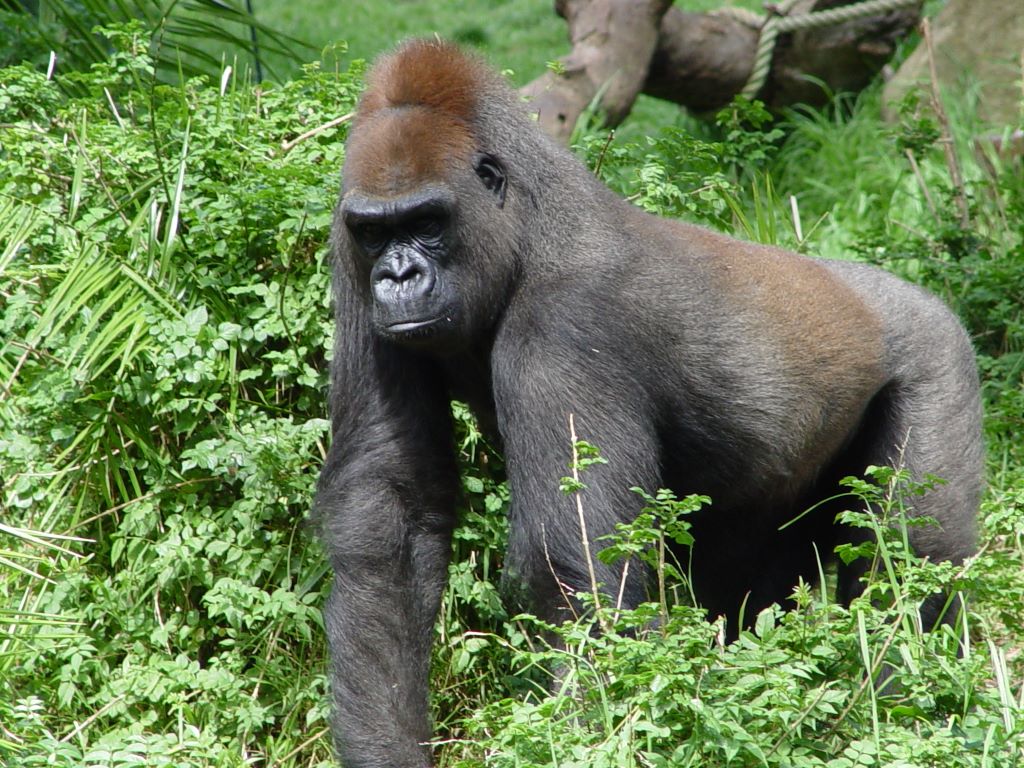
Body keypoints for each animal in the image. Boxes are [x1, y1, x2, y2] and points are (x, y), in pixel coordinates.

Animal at [314, 39, 983, 768]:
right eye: (375, 233)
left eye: (428, 223)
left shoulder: (564, 325)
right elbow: (391, 518)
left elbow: (580, 573)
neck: (523, 226)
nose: (398, 275)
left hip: (938, 355)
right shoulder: (350, 268)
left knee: (911, 564)